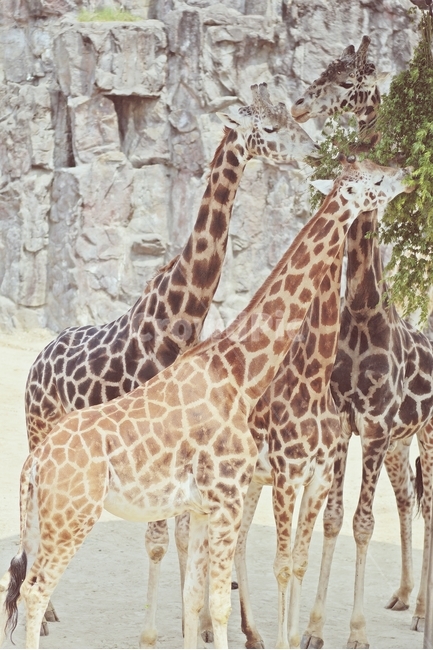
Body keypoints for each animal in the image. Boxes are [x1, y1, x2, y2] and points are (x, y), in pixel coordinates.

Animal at [0, 156, 412, 650]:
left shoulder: (203, 505)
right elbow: (219, 603)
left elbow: (194, 598)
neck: (240, 372)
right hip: (72, 515)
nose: (405, 175)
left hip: (45, 517)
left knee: (17, 584)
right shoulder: (230, 494)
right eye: (373, 180)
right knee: (35, 589)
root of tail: (34, 464)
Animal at [23, 83, 318, 644]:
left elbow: (186, 537)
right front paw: (156, 633)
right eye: (269, 128)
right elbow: (161, 541)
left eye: (292, 115)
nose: (312, 154)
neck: (181, 316)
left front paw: (197, 624)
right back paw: (45, 615)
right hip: (37, 430)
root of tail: (37, 359)